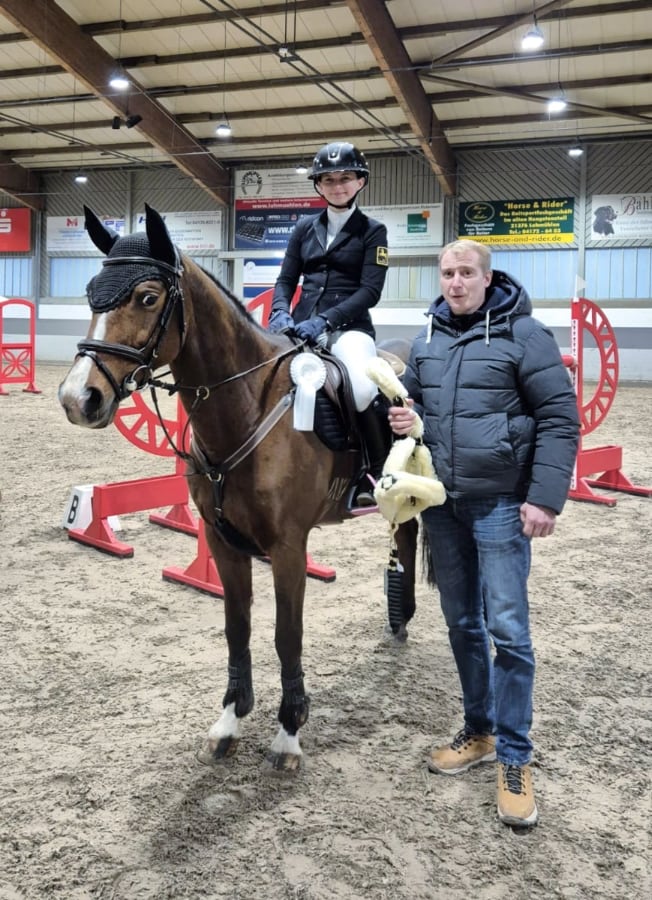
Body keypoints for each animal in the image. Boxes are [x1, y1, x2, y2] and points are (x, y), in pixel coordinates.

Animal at [58, 204, 420, 772]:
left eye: (147, 297)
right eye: (91, 290)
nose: (78, 399)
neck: (246, 405)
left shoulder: (289, 548)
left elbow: (287, 636)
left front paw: (289, 732)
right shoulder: (223, 542)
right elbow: (238, 629)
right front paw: (230, 720)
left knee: (414, 534)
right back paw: (398, 614)